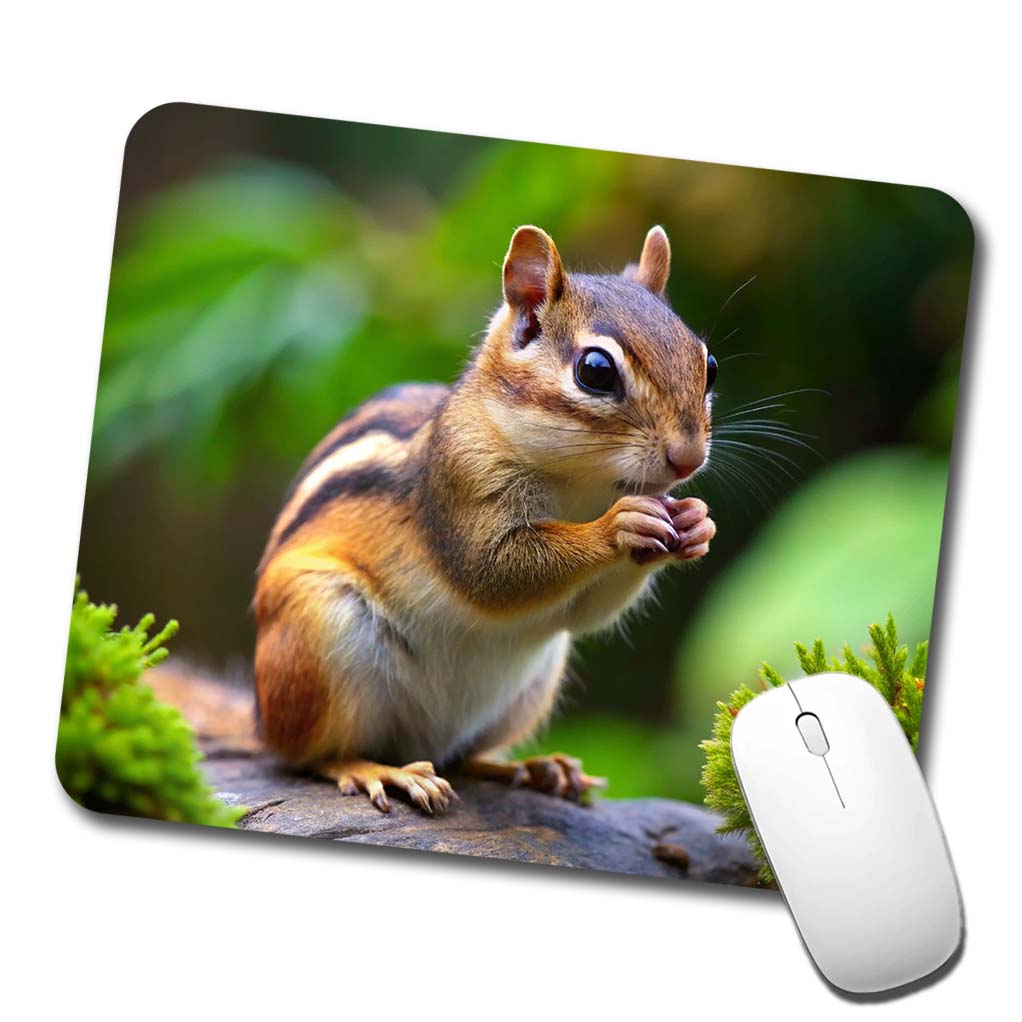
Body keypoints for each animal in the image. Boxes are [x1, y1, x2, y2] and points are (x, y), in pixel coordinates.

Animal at [254, 225, 717, 815]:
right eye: (595, 371)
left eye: (709, 365)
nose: (689, 458)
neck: (581, 484)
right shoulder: (459, 486)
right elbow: (493, 571)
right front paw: (617, 526)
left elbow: (586, 612)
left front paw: (698, 522)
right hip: (318, 633)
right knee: (309, 756)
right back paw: (381, 771)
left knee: (463, 757)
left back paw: (533, 768)